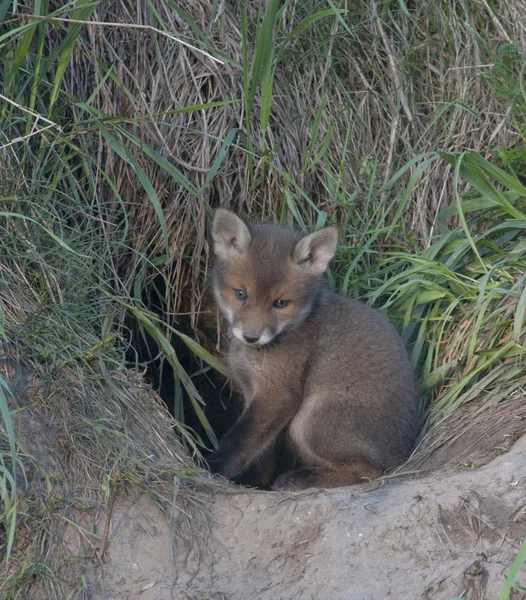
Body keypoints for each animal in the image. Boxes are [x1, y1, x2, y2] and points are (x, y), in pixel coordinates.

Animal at [208, 209, 422, 490]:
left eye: (281, 303)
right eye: (241, 294)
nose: (251, 337)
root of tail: (404, 453)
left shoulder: (278, 394)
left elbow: (238, 440)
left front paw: (214, 467)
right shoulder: (253, 393)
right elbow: (262, 451)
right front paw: (256, 481)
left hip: (308, 422)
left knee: (368, 472)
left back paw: (302, 479)